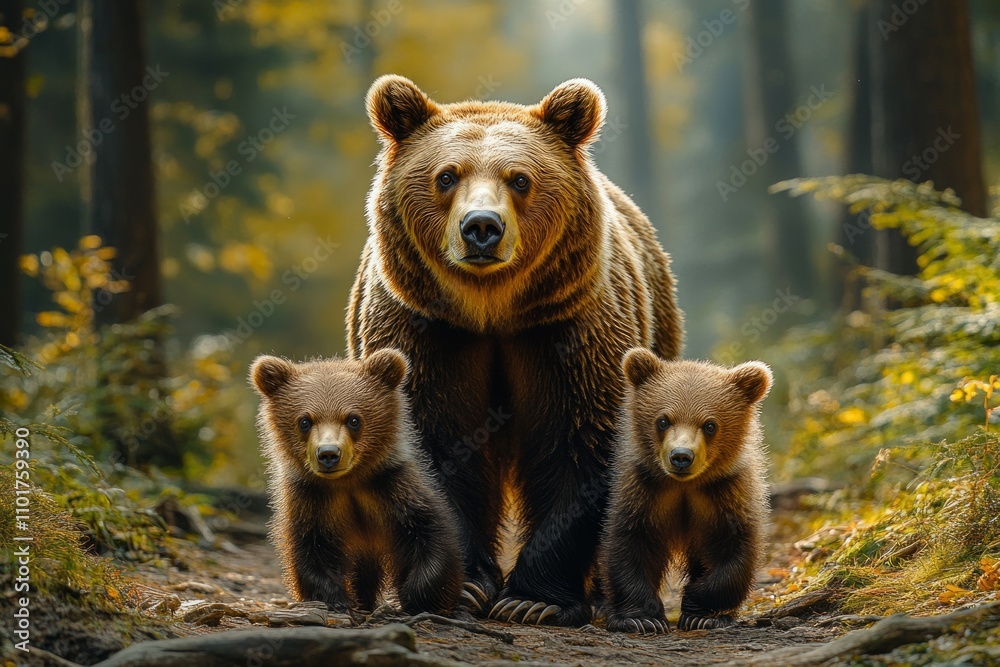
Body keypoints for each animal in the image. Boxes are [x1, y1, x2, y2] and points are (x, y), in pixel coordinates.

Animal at [250, 348, 463, 615]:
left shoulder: (392, 488)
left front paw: (418, 598)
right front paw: (336, 600)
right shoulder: (313, 500)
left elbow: (430, 533)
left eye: (353, 419)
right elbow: (311, 549)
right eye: (304, 421)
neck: (347, 483)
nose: (328, 454)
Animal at [347, 75, 684, 626]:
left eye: (520, 179)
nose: (481, 226)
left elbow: (581, 443)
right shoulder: (427, 332)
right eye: (446, 176)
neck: (492, 313)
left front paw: (534, 600)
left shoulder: (565, 330)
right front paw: (463, 588)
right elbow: (434, 443)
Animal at [600, 349, 771, 634]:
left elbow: (736, 549)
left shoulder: (725, 494)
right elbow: (629, 545)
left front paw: (702, 611)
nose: (681, 456)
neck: (685, 486)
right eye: (663, 420)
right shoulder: (644, 491)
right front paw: (641, 618)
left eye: (710, 424)